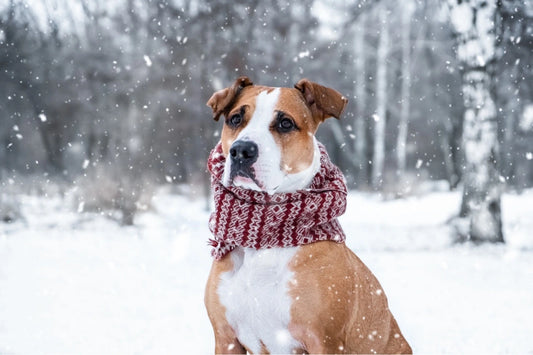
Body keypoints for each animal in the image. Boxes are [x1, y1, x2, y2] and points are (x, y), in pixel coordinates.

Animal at [204, 76, 412, 354]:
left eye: (285, 123)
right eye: (235, 119)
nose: (242, 150)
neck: (264, 240)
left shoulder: (325, 339)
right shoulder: (225, 338)